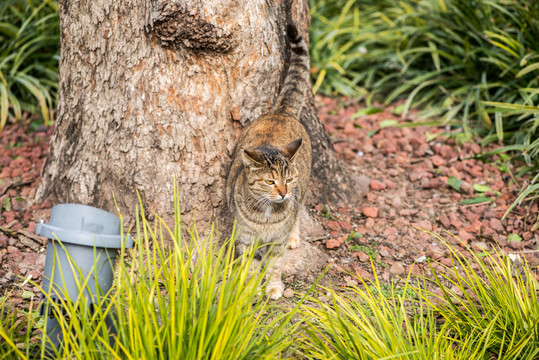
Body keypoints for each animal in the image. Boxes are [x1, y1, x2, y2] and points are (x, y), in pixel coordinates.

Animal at [227, 21, 312, 298]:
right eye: (269, 182)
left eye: (289, 179)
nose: (284, 193)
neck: (266, 215)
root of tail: (281, 111)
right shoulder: (245, 239)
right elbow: (251, 265)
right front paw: (252, 288)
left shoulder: (277, 241)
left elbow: (275, 264)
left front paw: (273, 287)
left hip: (304, 188)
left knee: (299, 209)